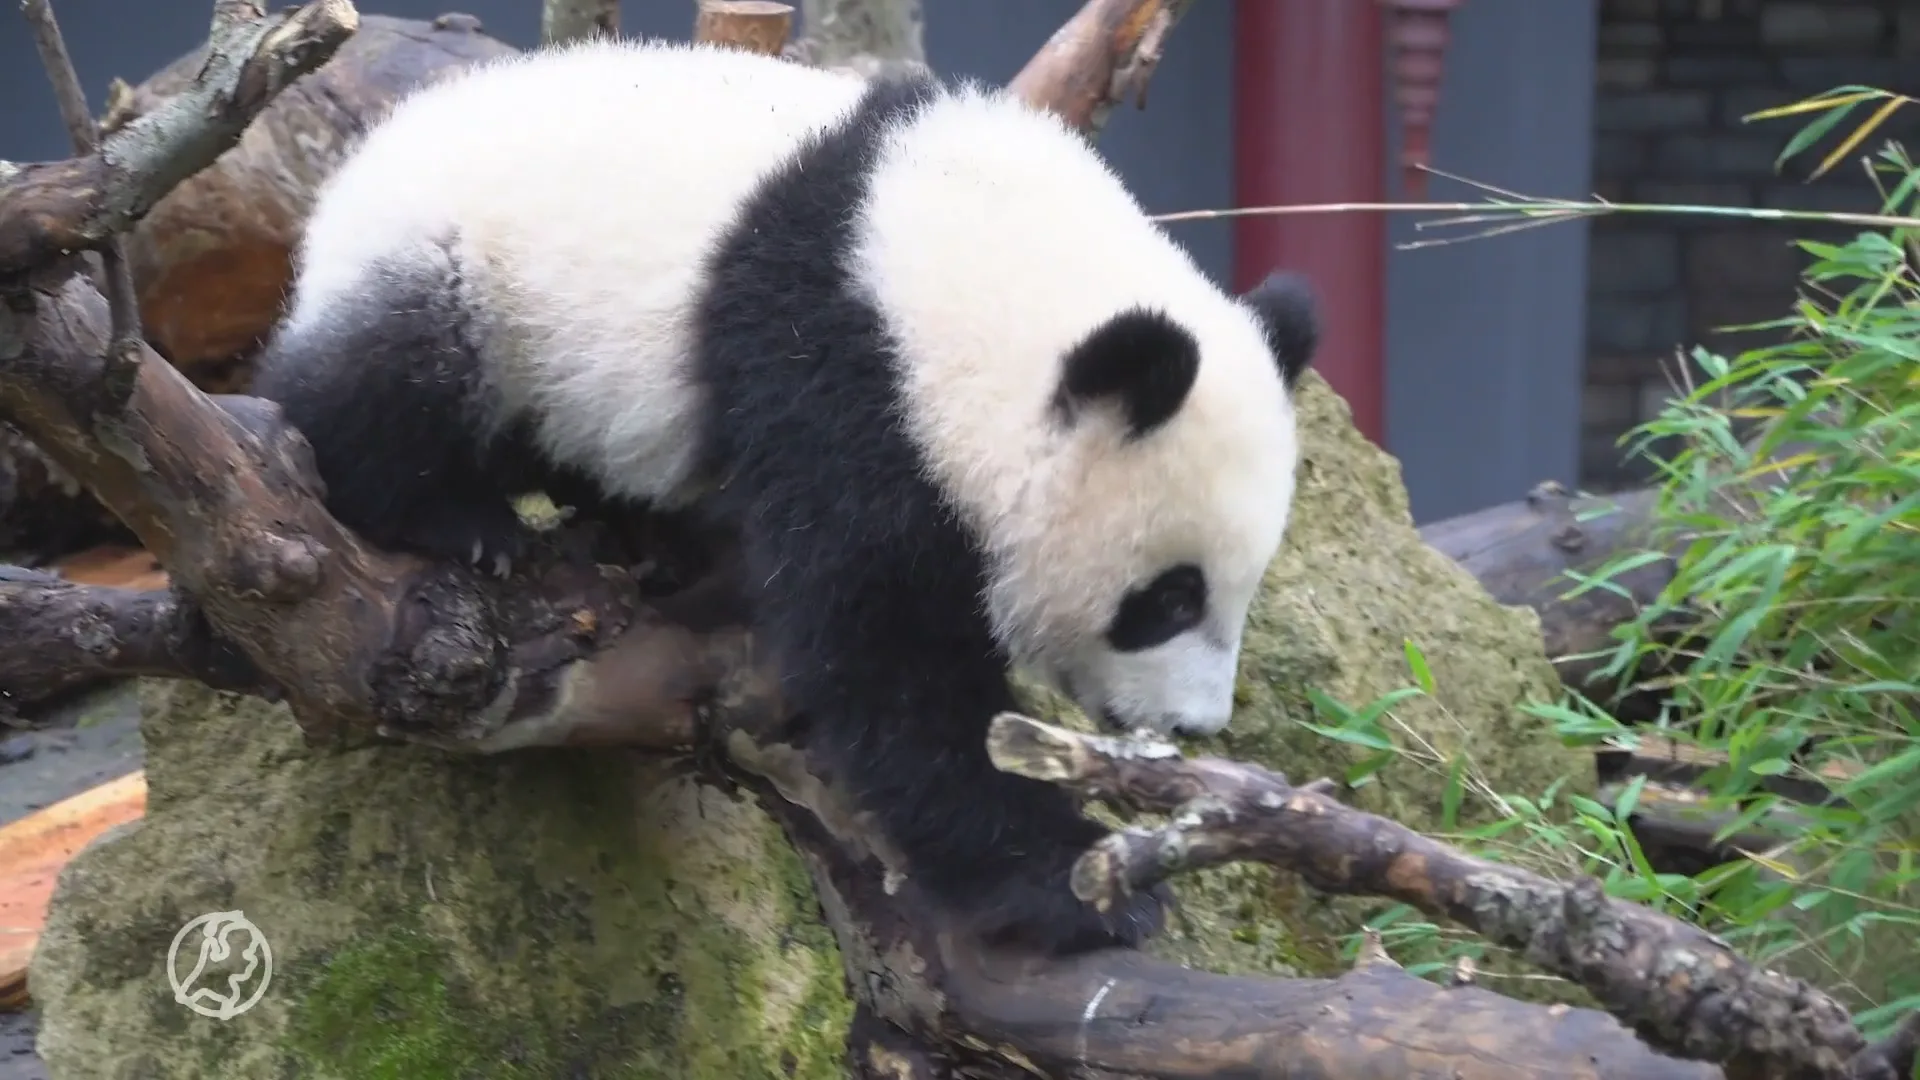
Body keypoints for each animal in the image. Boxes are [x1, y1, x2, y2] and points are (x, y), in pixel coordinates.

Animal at [249, 38, 1320, 955]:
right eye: (1169, 598)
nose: (1195, 729)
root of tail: (350, 173)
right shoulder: (844, 378)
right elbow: (886, 657)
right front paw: (1076, 884)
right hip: (461, 268)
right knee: (378, 382)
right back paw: (459, 520)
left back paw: (641, 536)